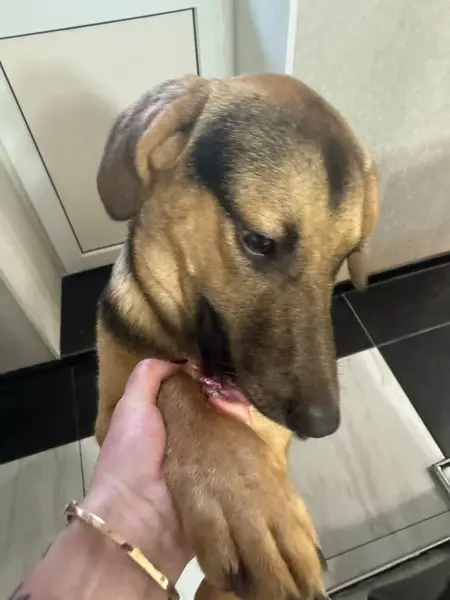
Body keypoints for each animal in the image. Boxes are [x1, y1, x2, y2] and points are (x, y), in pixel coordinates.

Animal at [94, 73, 378, 600]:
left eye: (344, 259)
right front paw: (244, 497)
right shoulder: (110, 418)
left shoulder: (272, 438)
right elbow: (177, 388)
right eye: (259, 242)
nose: (322, 424)